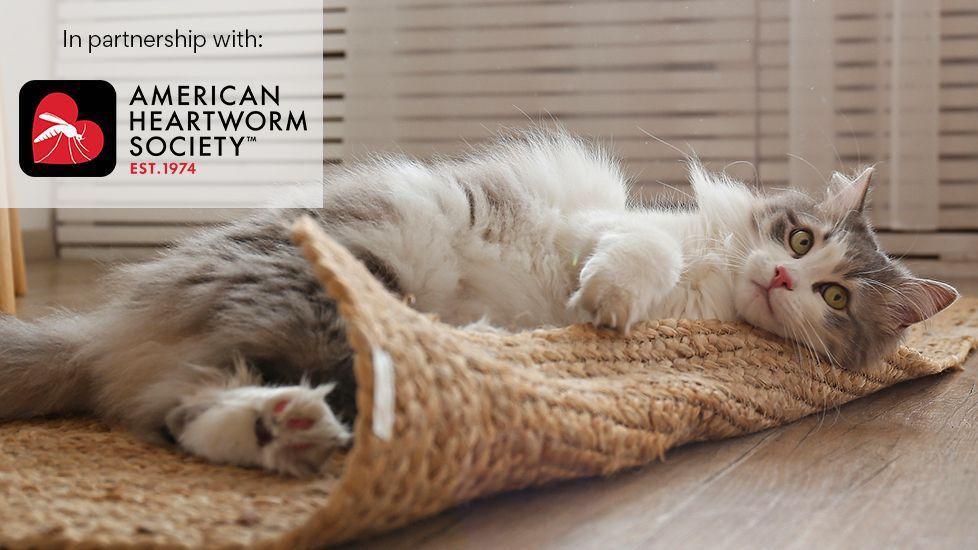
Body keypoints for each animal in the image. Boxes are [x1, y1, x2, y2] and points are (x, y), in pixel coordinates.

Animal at [0, 129, 956, 478]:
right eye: (798, 242)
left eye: (835, 294)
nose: (784, 281)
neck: (713, 290)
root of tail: (107, 331)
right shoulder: (612, 224)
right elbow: (631, 258)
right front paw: (605, 303)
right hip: (339, 289)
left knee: (188, 412)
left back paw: (289, 429)